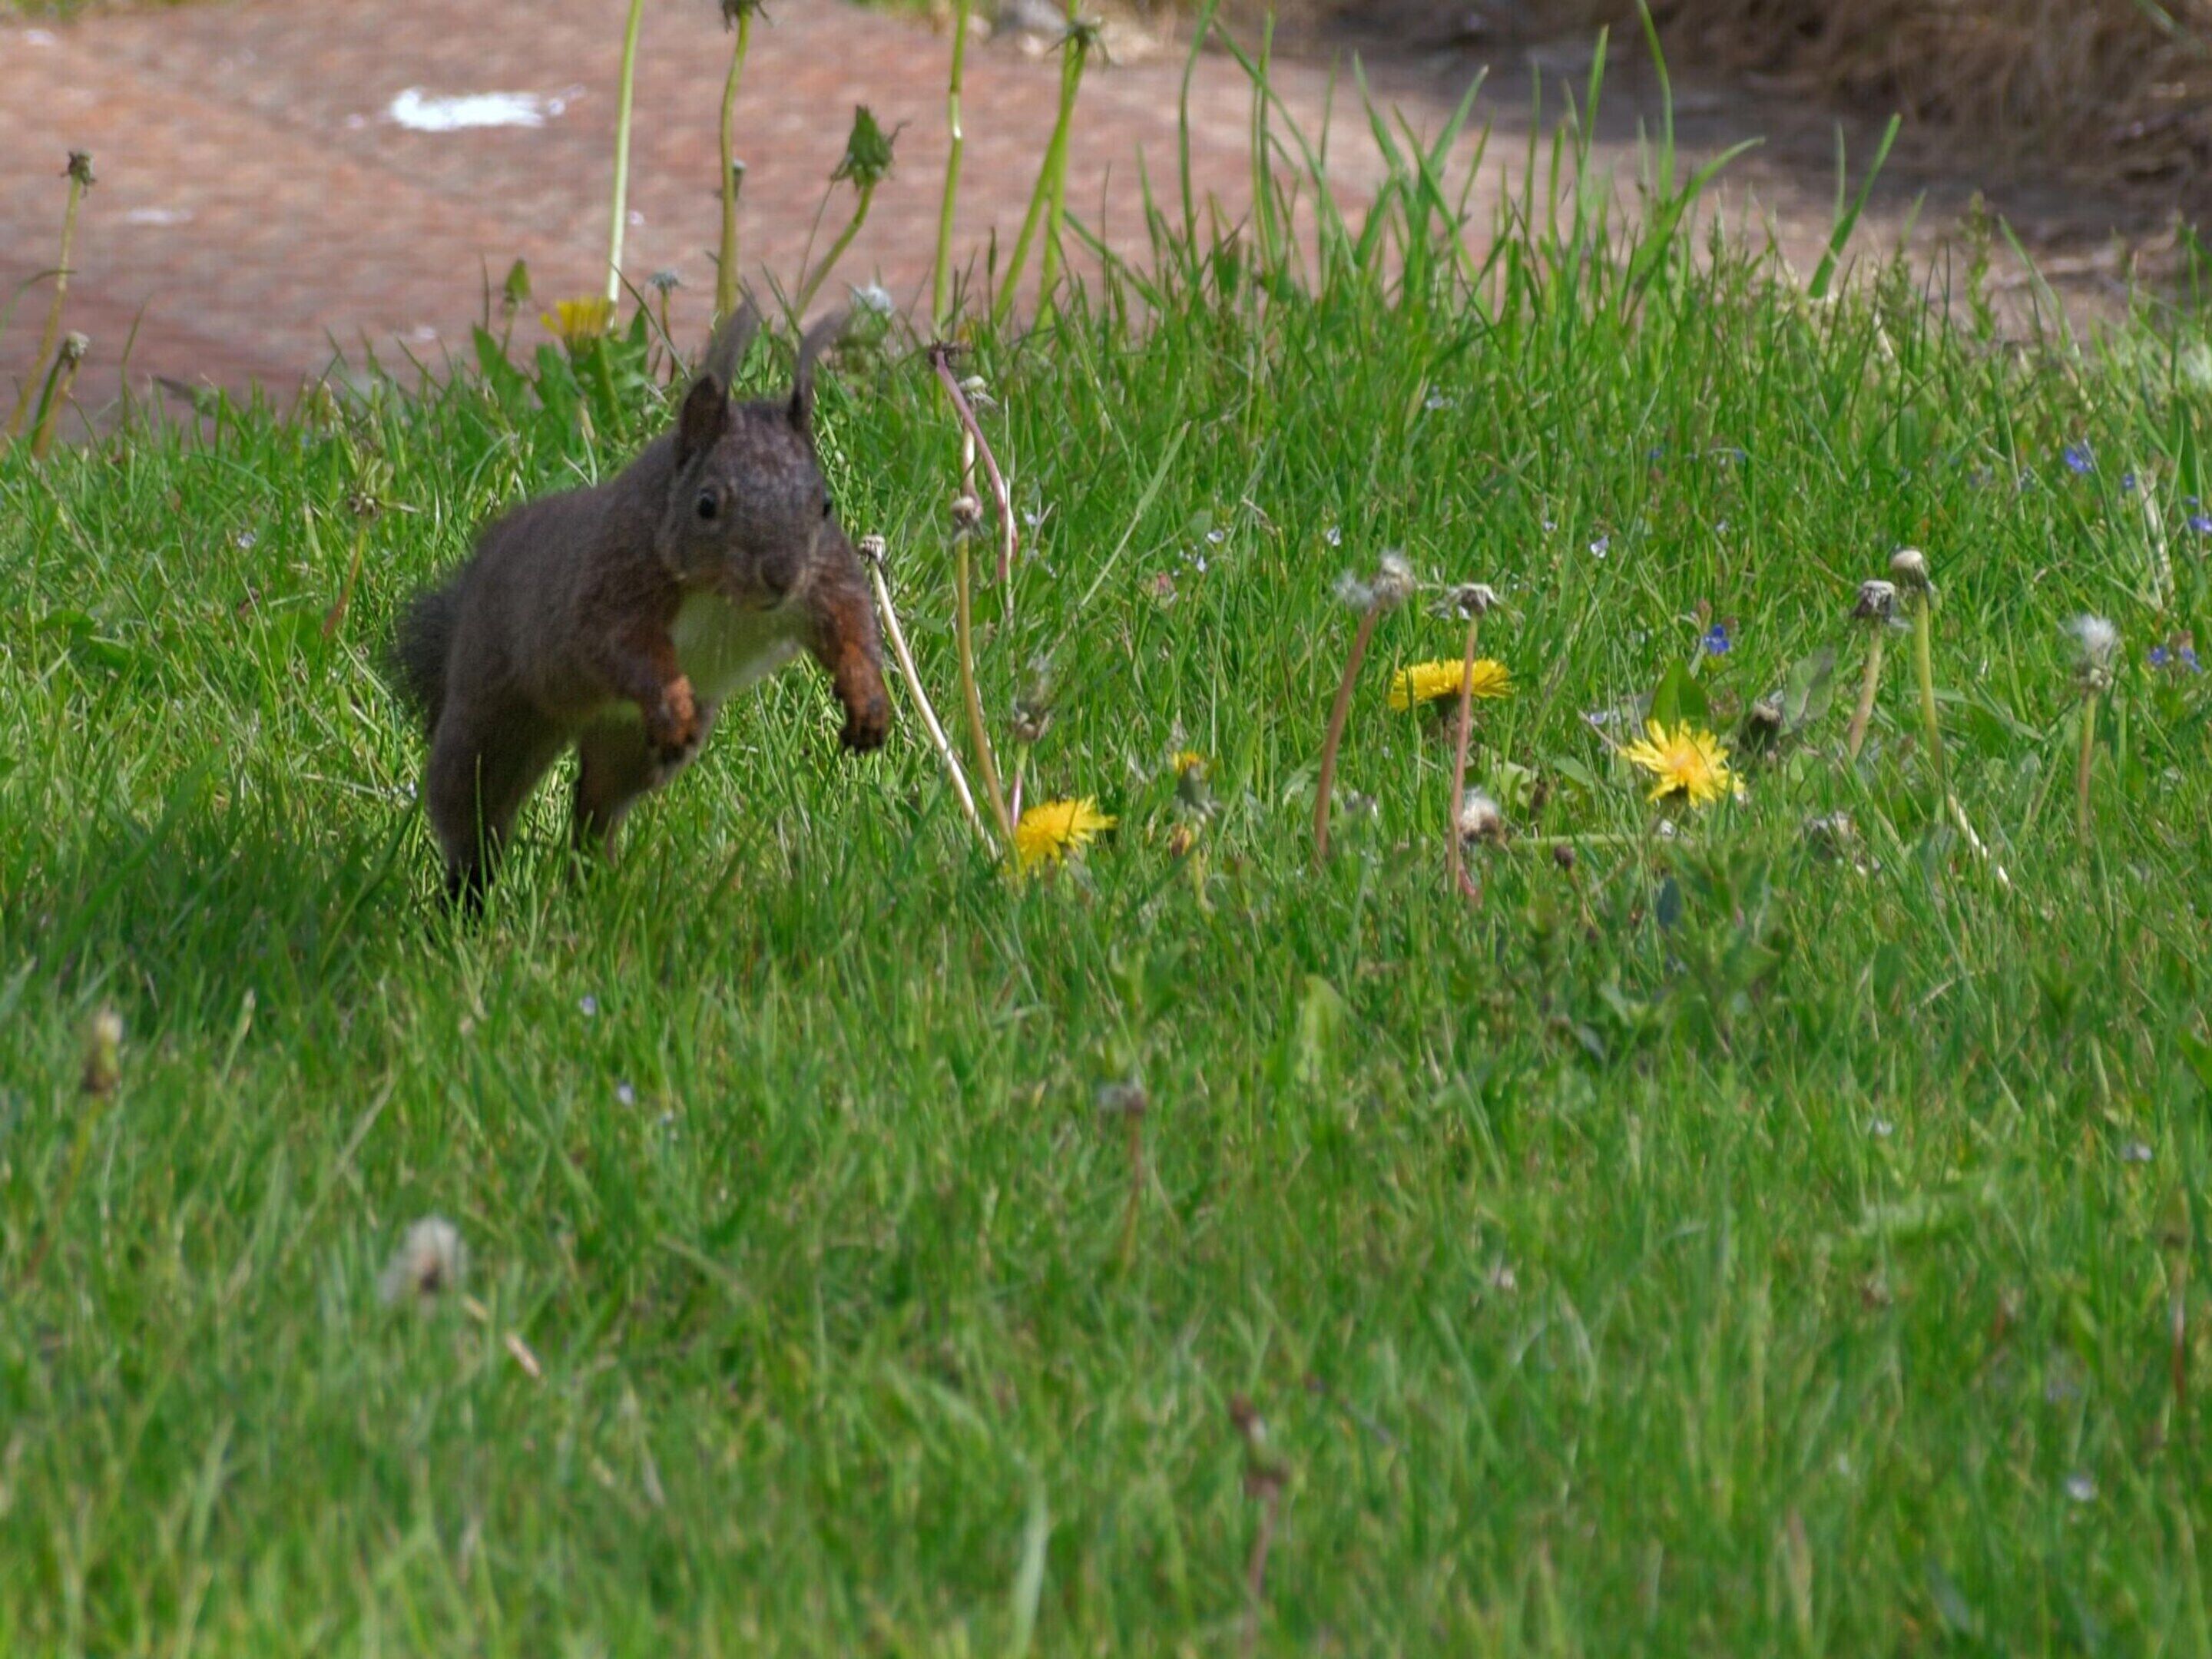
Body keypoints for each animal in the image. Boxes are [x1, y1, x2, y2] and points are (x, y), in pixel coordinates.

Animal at [388, 303, 890, 905]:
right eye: (706, 505)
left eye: (825, 504)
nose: (781, 576)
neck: (726, 597)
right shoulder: (615, 579)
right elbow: (620, 646)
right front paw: (671, 700)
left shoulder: (826, 576)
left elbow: (851, 624)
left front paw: (868, 700)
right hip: (498, 714)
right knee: (474, 808)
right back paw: (466, 898)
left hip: (626, 746)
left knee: (596, 808)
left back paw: (593, 885)